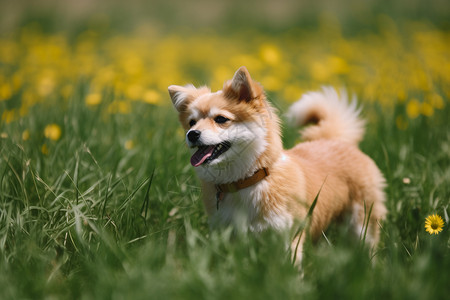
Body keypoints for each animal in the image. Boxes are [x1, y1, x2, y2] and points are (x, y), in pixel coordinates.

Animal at [169, 66, 386, 264]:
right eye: (192, 122)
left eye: (221, 119)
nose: (192, 134)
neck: (243, 182)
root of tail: (332, 139)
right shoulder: (228, 234)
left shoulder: (289, 235)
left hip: (362, 221)